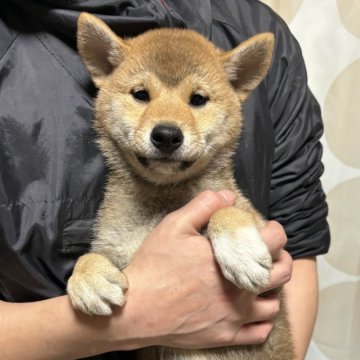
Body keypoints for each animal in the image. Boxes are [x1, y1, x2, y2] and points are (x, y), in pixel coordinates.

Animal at [67, 12, 296, 358]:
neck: (165, 196)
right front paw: (87, 278)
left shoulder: (265, 234)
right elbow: (90, 255)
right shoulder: (115, 247)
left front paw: (240, 249)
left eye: (198, 99)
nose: (166, 135)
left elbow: (226, 211)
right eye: (141, 94)